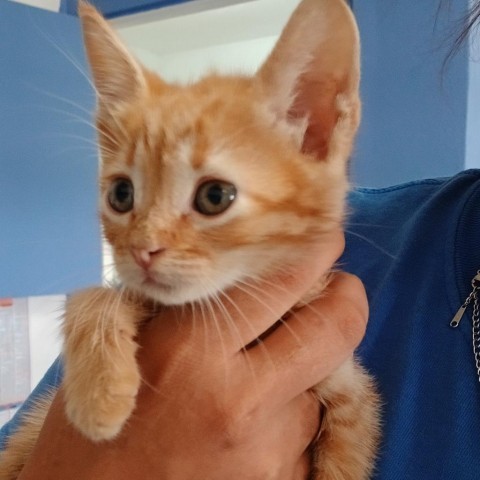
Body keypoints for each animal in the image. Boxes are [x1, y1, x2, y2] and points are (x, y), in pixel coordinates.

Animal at [0, 0, 382, 478]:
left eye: (215, 196)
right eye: (121, 194)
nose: (142, 251)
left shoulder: (349, 397)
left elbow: (344, 460)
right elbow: (93, 297)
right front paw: (99, 396)